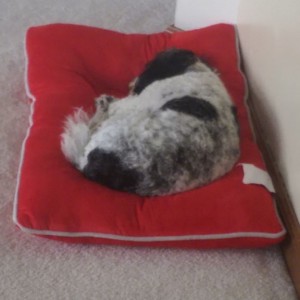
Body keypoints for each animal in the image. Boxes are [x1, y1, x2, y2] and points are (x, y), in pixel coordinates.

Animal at [60, 48, 239, 196]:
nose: (132, 82)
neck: (195, 70)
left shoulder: (138, 101)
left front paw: (105, 102)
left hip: (116, 126)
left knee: (95, 126)